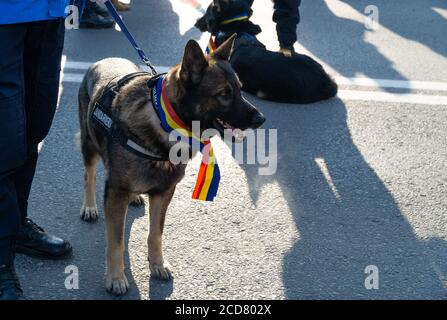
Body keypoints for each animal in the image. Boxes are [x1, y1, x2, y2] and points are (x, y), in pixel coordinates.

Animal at [78, 35, 266, 296]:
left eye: (239, 89)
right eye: (224, 94)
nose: (261, 119)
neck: (164, 122)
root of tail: (103, 60)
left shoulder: (164, 193)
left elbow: (155, 233)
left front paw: (157, 265)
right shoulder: (116, 193)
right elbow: (116, 242)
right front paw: (115, 277)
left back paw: (134, 197)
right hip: (89, 147)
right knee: (90, 175)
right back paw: (89, 206)